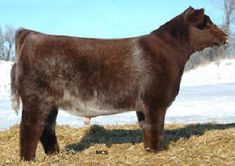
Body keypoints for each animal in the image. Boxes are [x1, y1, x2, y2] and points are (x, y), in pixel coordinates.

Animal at [10, 7, 226, 160]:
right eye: (207, 23)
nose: (225, 35)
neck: (171, 52)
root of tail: (31, 34)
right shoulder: (156, 101)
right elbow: (156, 127)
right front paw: (157, 150)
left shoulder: (144, 106)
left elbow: (146, 128)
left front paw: (149, 149)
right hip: (36, 98)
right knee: (29, 128)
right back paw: (29, 159)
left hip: (50, 103)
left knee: (47, 128)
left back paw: (55, 154)